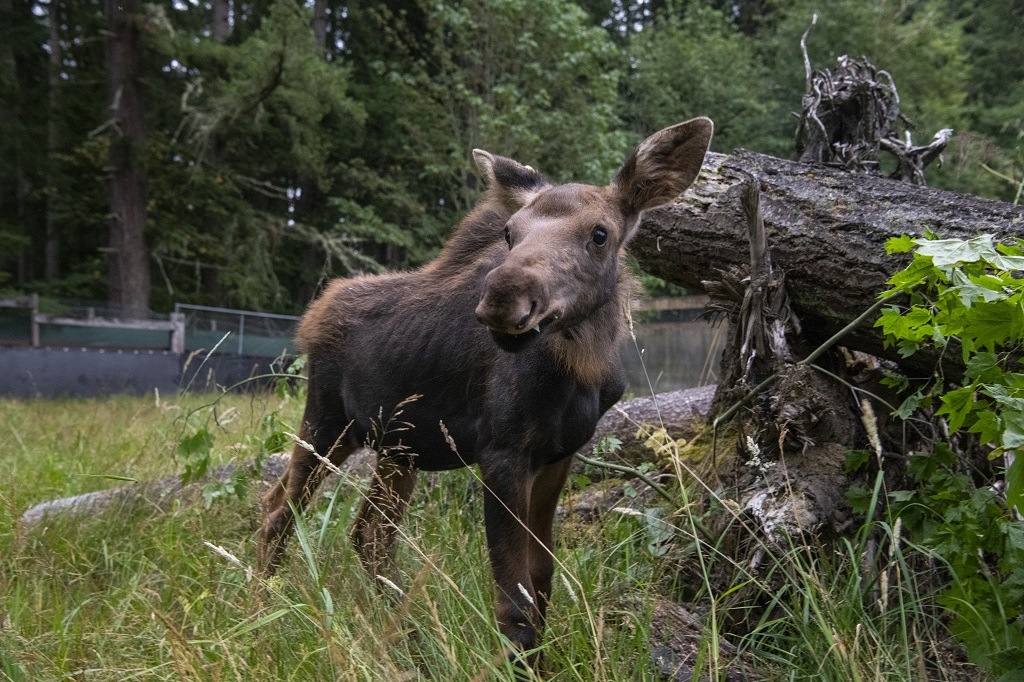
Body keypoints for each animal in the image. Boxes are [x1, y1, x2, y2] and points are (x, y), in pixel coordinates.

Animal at [258, 117, 713, 666]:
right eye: (509, 232)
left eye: (600, 234)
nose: (504, 297)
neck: (582, 373)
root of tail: (312, 315)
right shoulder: (501, 453)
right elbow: (514, 598)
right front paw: (518, 664)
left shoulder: (558, 455)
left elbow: (542, 577)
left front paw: (540, 665)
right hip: (328, 421)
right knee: (280, 510)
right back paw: (258, 610)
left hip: (398, 446)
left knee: (368, 532)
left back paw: (409, 642)